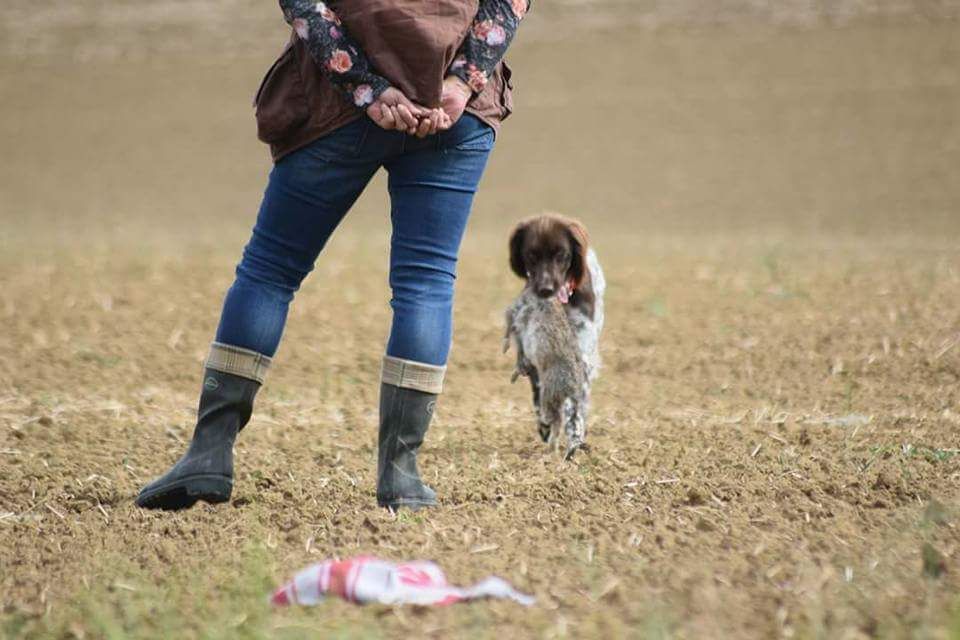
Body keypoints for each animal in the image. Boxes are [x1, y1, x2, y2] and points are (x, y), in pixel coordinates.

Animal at [503, 214, 605, 458]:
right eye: (531, 255)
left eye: (562, 254)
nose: (545, 289)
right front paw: (545, 426)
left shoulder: (579, 352)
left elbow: (575, 407)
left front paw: (575, 438)